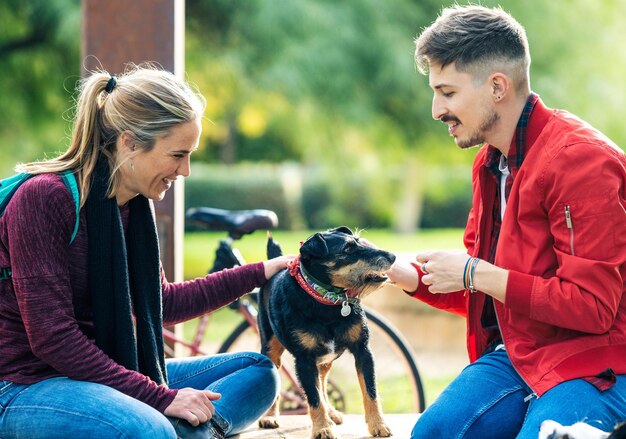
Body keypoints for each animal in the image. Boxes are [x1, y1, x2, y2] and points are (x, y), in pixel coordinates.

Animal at [255, 229, 392, 438]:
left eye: (358, 241)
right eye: (348, 248)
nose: (393, 257)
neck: (328, 301)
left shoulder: (363, 351)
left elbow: (371, 391)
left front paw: (378, 424)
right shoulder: (304, 360)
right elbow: (313, 397)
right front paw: (322, 428)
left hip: (325, 360)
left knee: (323, 381)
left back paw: (332, 413)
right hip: (271, 350)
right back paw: (270, 417)